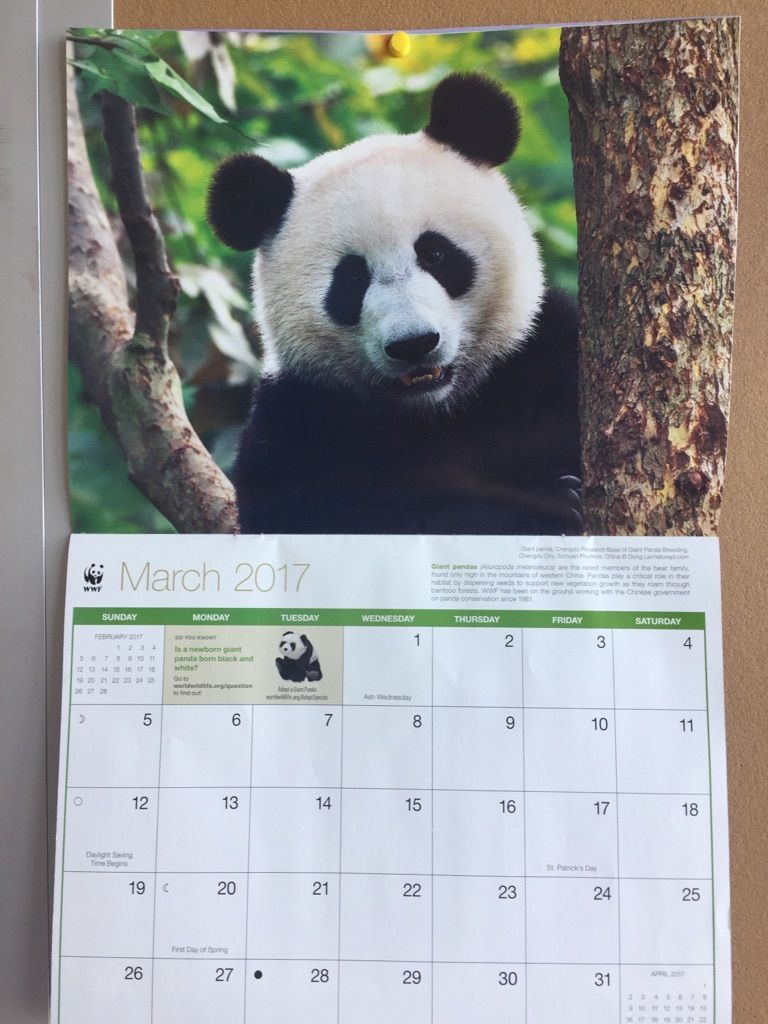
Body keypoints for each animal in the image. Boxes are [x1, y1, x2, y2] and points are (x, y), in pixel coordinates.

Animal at [207, 72, 581, 535]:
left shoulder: (543, 354)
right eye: (352, 279)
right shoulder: (297, 417)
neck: (435, 411)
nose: (414, 343)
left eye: (435, 254)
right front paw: (548, 507)